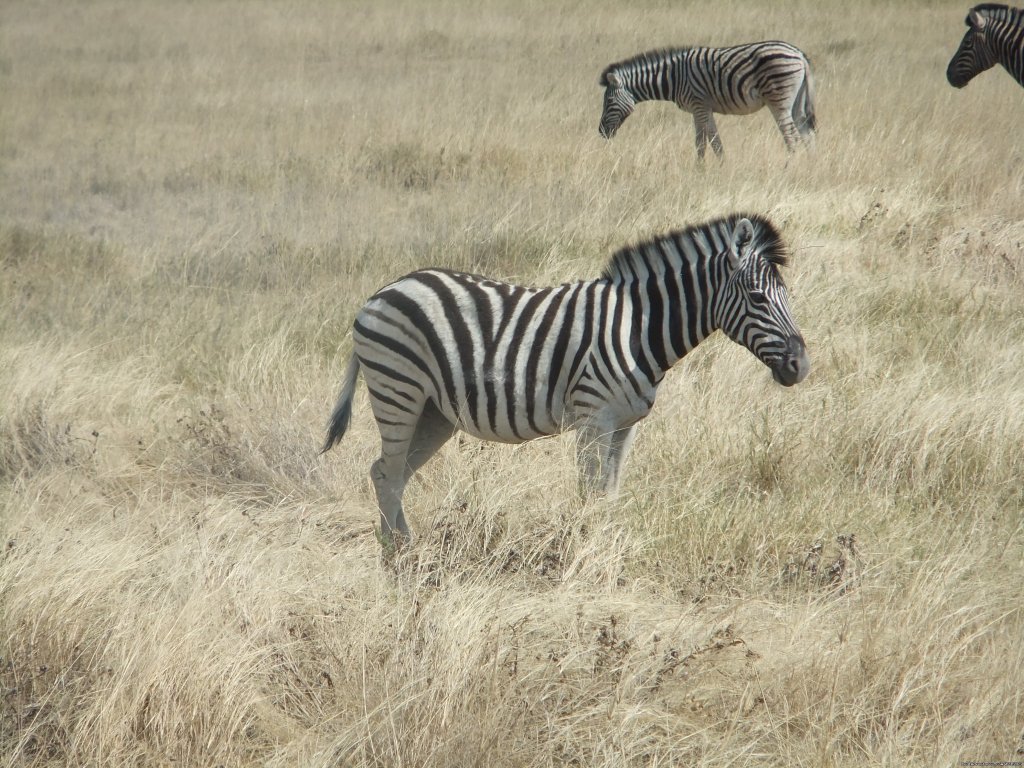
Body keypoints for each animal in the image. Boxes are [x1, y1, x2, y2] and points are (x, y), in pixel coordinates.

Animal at [323, 214, 811, 544]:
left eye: (786, 294)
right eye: (757, 297)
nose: (800, 366)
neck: (636, 328)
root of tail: (380, 294)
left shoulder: (625, 426)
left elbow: (610, 493)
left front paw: (609, 548)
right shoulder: (593, 419)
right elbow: (590, 493)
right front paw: (586, 551)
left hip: (433, 412)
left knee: (389, 473)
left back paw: (401, 550)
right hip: (398, 391)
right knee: (387, 474)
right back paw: (399, 559)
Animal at [598, 41, 819, 159]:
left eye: (609, 102)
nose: (601, 132)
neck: (674, 77)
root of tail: (799, 54)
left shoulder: (699, 105)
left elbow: (707, 141)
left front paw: (710, 170)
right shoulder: (702, 109)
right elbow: (707, 141)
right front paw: (709, 169)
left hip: (779, 99)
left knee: (792, 136)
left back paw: (789, 168)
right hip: (797, 102)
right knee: (806, 133)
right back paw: (810, 168)